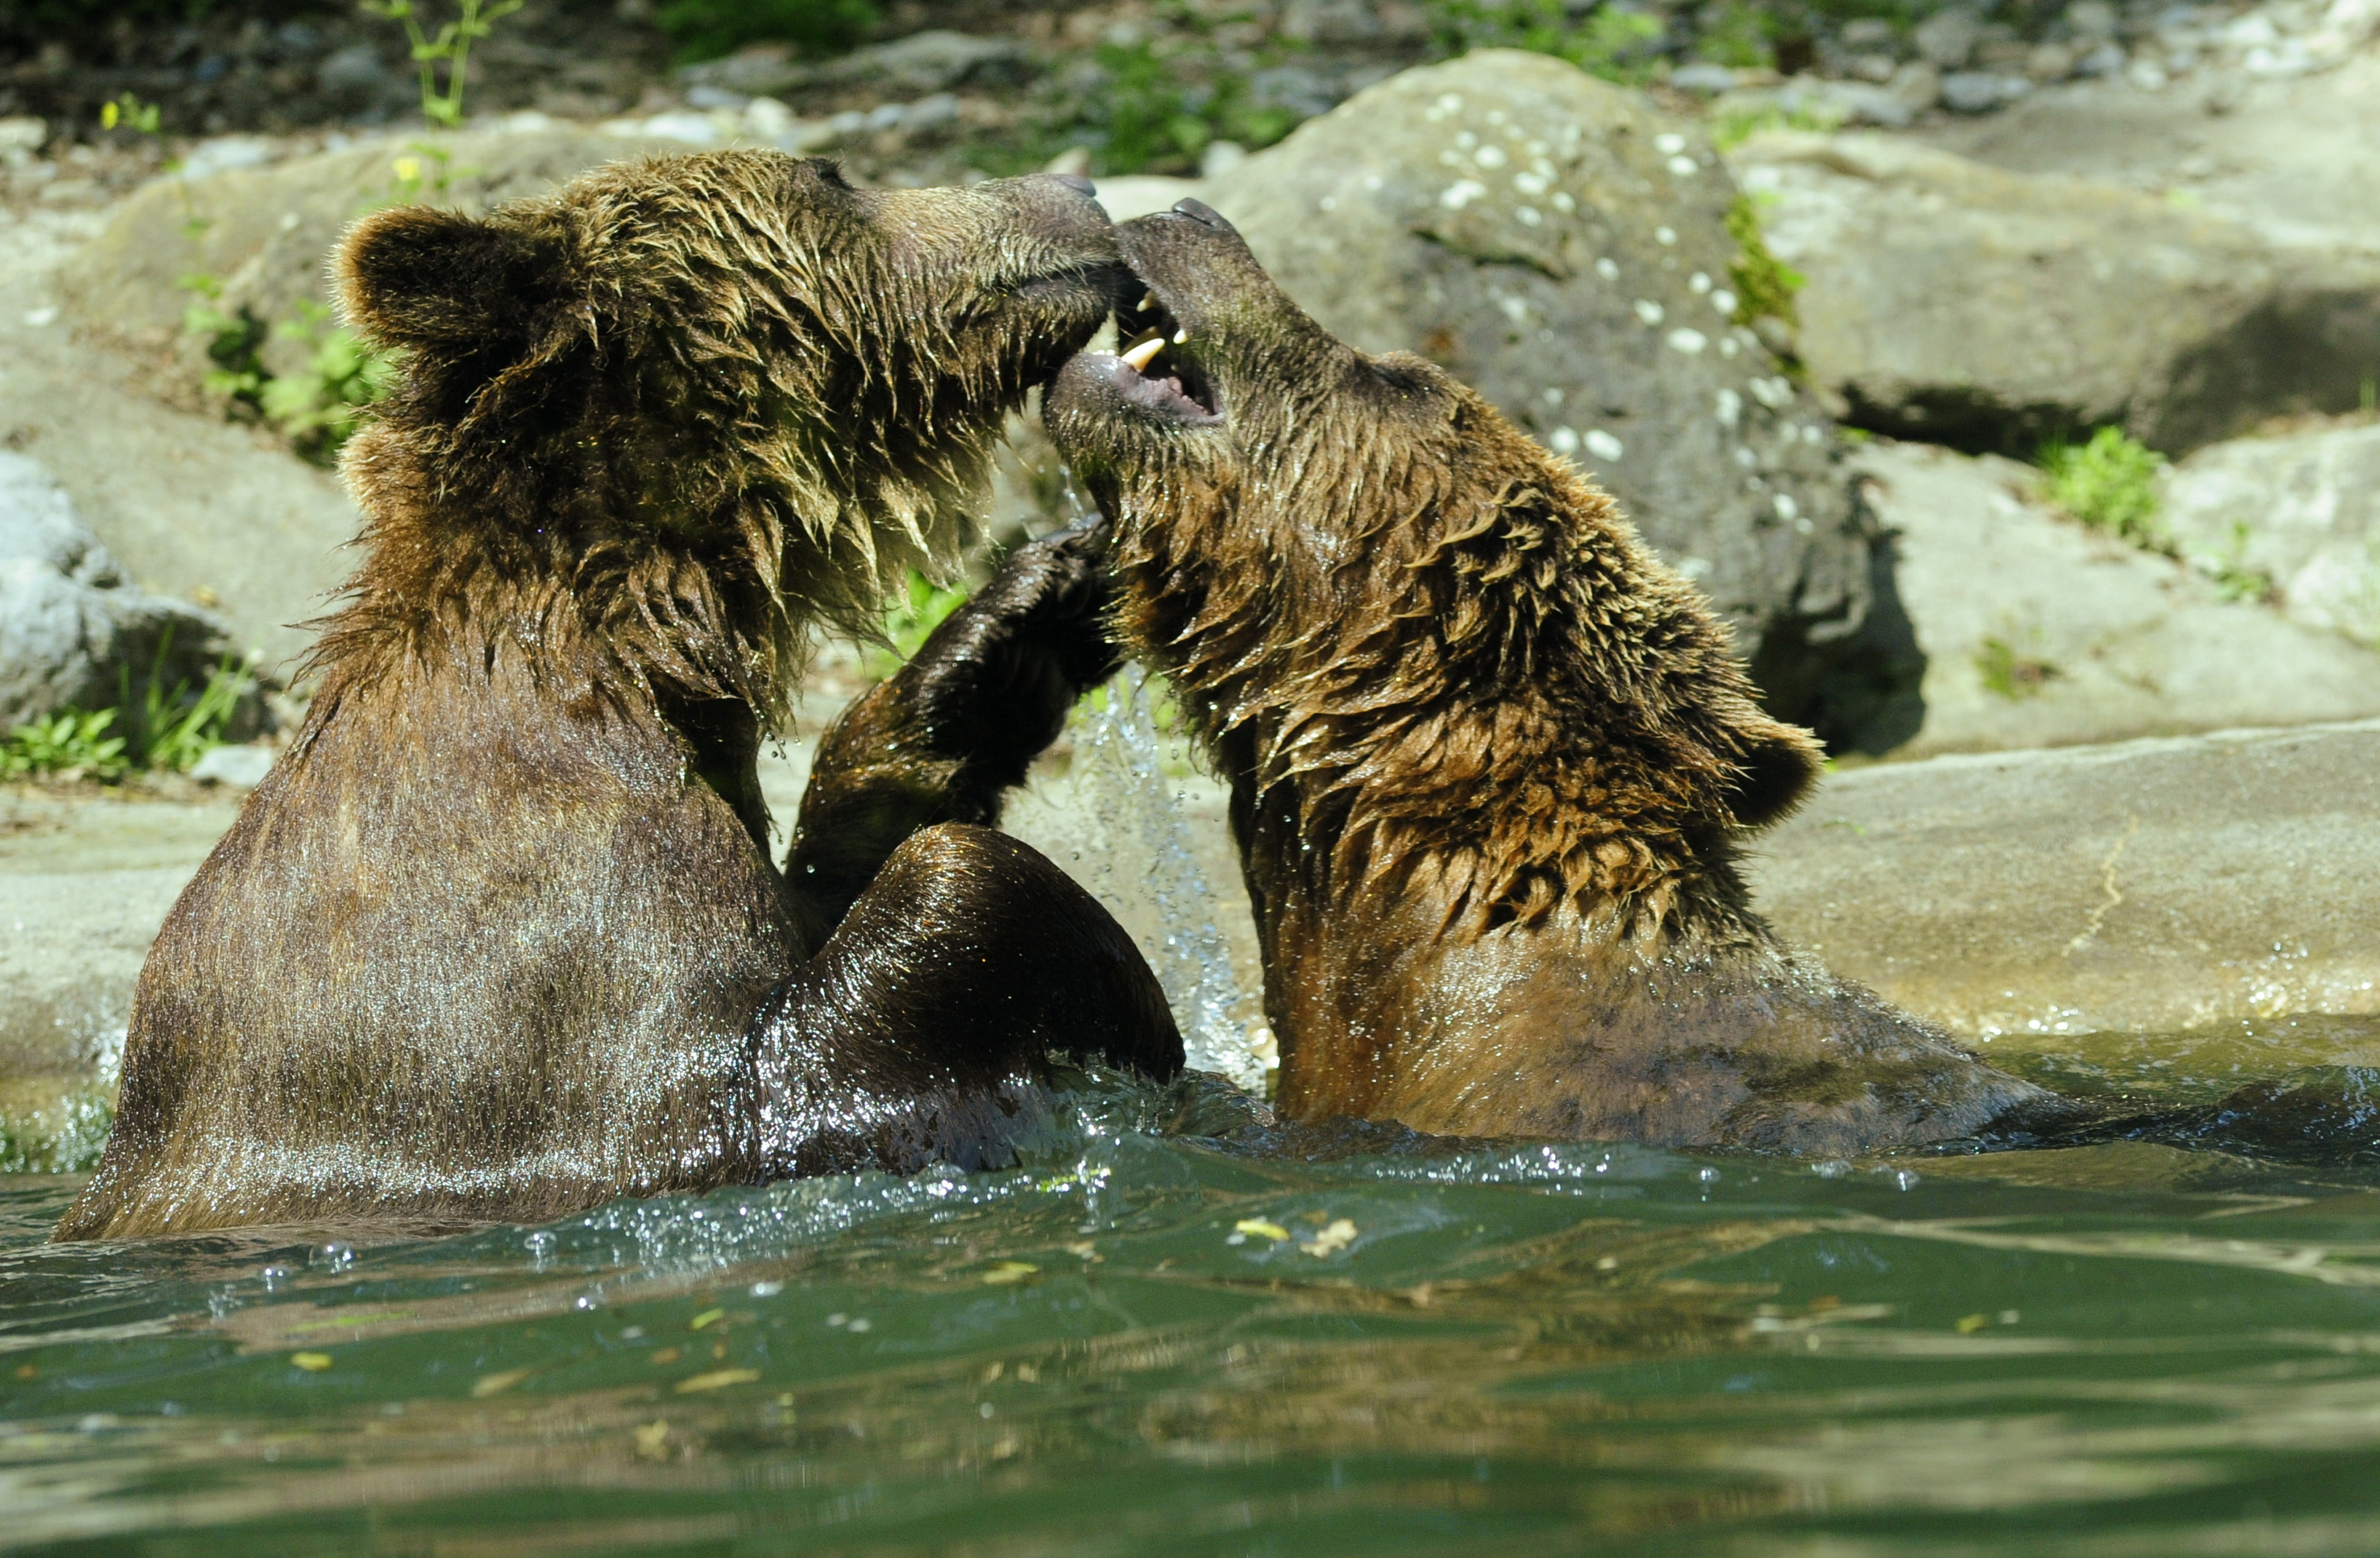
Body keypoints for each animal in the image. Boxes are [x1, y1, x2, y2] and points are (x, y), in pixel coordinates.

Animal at [54, 154, 1181, 1242]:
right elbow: (861, 1008)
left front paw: (1027, 624)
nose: (1077, 187)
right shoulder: (546, 993)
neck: (632, 650)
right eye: (831, 174)